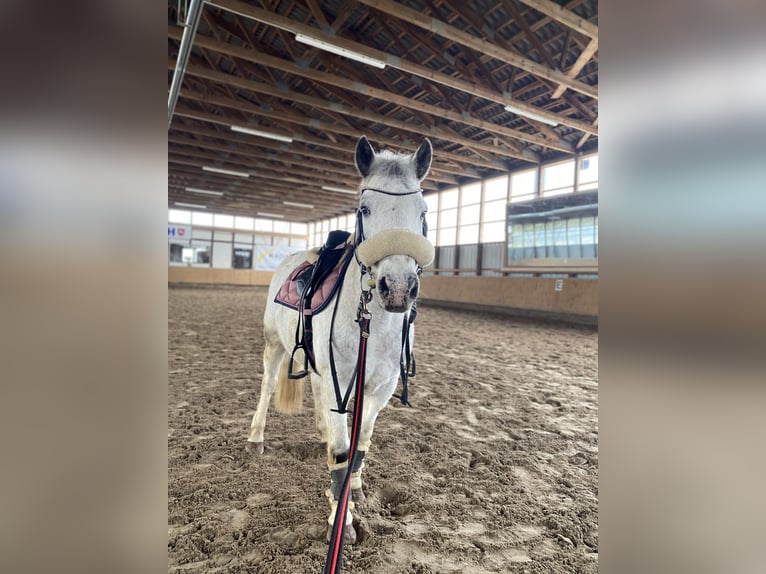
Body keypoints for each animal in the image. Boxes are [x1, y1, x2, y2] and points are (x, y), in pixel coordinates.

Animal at [247, 135, 435, 543]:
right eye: (364, 208)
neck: (374, 325)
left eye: (423, 211)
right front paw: (341, 521)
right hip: (274, 345)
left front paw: (357, 489)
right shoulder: (339, 384)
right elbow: (340, 452)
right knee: (267, 386)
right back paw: (255, 439)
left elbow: (360, 444)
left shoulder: (379, 388)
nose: (398, 288)